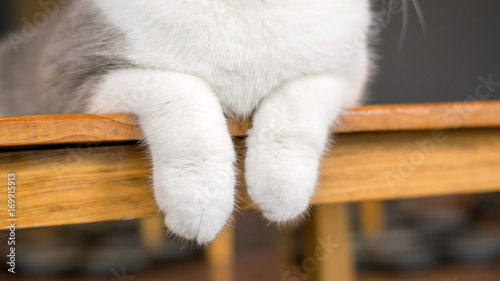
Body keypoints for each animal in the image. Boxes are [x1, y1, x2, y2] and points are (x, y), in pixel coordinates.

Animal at [0, 0, 374, 243]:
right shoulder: (80, 77)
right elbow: (186, 102)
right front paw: (198, 199)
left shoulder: (345, 72)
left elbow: (295, 110)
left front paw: (281, 188)